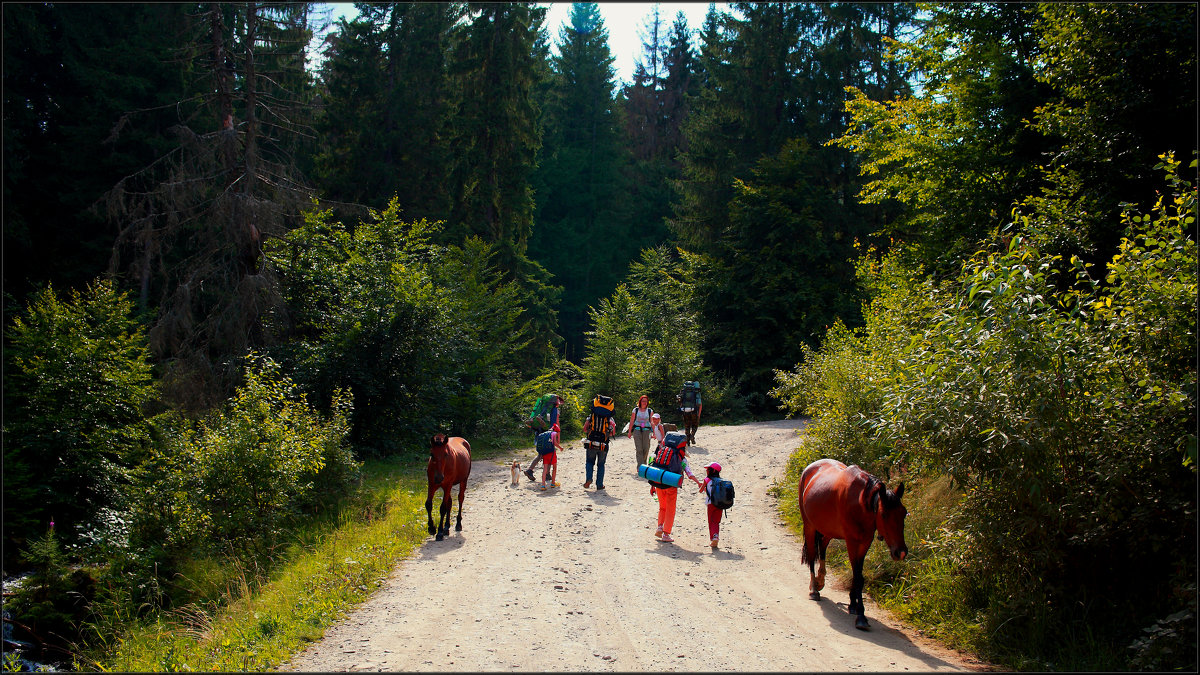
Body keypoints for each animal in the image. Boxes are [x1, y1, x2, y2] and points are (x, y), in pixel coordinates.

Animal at [796, 454, 907, 629]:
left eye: (904, 513)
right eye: (883, 515)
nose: (901, 552)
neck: (861, 502)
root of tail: (810, 467)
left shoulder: (865, 542)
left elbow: (859, 575)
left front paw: (853, 605)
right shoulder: (852, 541)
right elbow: (857, 576)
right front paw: (861, 615)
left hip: (827, 529)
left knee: (823, 547)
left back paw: (821, 580)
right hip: (809, 526)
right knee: (813, 554)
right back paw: (814, 588)